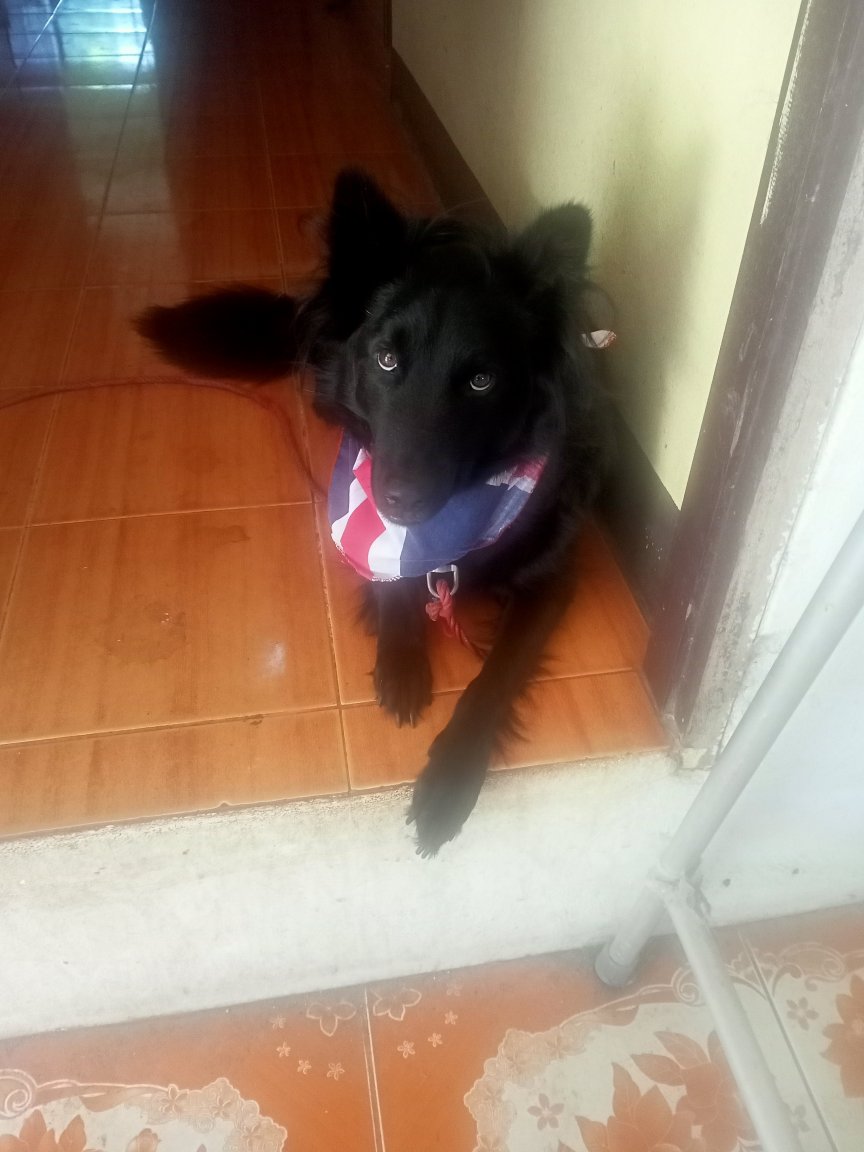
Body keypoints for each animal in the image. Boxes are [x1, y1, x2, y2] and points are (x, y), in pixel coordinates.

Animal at [137, 169, 613, 855]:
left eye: (482, 381)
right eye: (386, 360)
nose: (401, 499)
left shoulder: (551, 579)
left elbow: (493, 680)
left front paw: (450, 779)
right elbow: (392, 577)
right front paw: (401, 660)